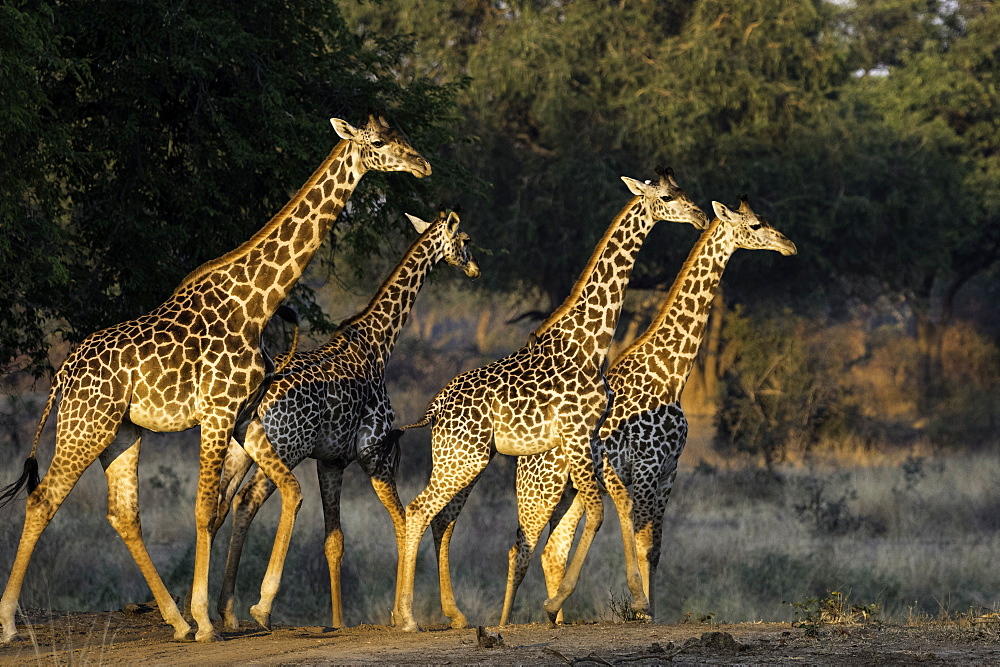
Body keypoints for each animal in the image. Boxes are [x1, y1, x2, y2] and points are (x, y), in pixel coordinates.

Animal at [0, 116, 426, 648]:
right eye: (379, 142)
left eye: (402, 133)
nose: (422, 164)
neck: (255, 304)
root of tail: (62, 375)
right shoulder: (217, 412)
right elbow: (206, 510)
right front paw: (208, 620)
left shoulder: (245, 417)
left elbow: (280, 493)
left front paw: (230, 612)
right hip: (85, 426)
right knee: (43, 499)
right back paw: (10, 622)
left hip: (121, 433)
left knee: (124, 514)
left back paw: (175, 621)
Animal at [209, 209, 478, 632]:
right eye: (465, 240)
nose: (474, 269)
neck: (379, 344)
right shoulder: (376, 455)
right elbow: (402, 522)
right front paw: (404, 616)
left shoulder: (331, 461)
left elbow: (334, 541)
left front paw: (339, 621)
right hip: (286, 446)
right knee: (254, 499)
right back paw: (259, 607)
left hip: (243, 450)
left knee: (225, 503)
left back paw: (223, 612)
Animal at [386, 167, 708, 632]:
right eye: (667, 196)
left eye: (682, 190)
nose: (700, 216)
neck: (591, 343)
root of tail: (433, 410)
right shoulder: (575, 434)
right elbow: (597, 514)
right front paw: (557, 603)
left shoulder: (589, 439)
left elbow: (611, 508)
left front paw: (631, 600)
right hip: (464, 458)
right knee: (419, 511)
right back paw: (409, 617)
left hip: (464, 459)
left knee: (435, 517)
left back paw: (424, 613)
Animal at [508, 196, 796, 624]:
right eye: (757, 225)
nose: (789, 244)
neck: (672, 375)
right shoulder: (643, 467)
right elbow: (641, 539)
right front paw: (641, 608)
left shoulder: (668, 471)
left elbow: (656, 548)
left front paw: (651, 610)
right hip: (540, 489)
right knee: (520, 549)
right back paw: (504, 622)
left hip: (571, 492)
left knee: (552, 550)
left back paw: (554, 614)